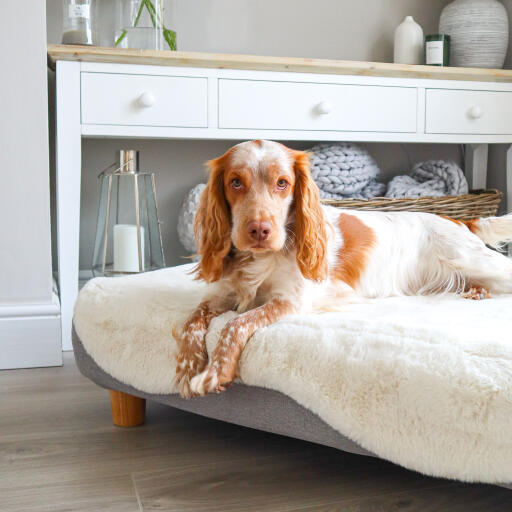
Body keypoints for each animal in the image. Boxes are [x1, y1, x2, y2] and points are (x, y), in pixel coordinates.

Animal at [175, 140, 512, 400]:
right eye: (235, 182)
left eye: (282, 183)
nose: (259, 230)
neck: (257, 260)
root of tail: (456, 219)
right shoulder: (220, 295)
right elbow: (191, 322)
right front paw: (188, 367)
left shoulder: (292, 300)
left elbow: (236, 324)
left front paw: (214, 372)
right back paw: (475, 292)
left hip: (470, 258)